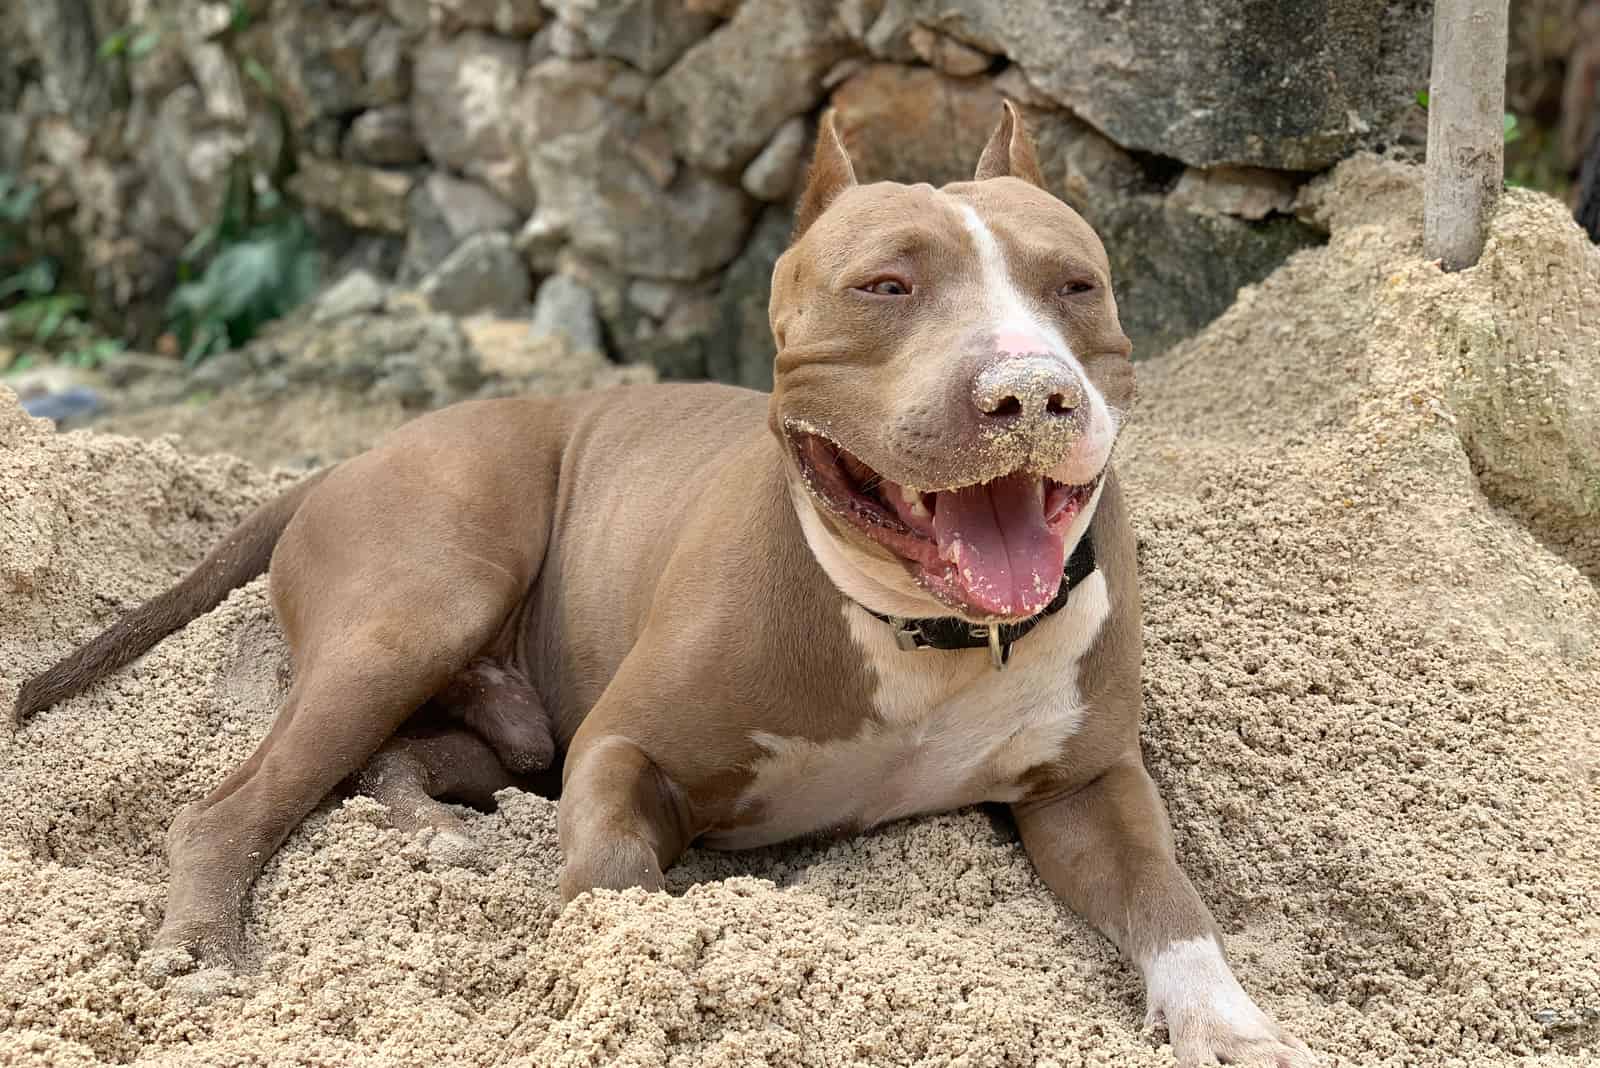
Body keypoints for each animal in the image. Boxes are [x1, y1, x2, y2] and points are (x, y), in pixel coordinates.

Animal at [12, 103, 1312, 1061]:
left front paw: (1235, 1028)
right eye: (886, 287)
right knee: (237, 802)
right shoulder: (621, 746)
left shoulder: (1090, 787)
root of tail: (339, 459)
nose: (1029, 391)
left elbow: (1171, 906)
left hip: (497, 721)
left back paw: (441, 840)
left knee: (386, 766)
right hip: (418, 610)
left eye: (1076, 285)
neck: (920, 635)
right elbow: (615, 890)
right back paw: (204, 946)